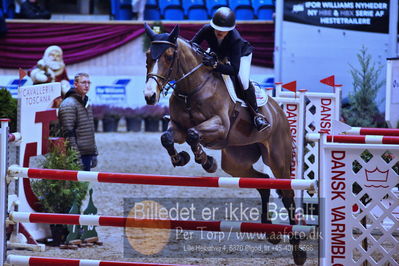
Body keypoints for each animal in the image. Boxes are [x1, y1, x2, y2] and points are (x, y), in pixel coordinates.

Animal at [145, 23, 310, 264]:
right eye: (148, 55)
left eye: (168, 56)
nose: (149, 96)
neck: (192, 88)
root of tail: (279, 112)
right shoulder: (177, 128)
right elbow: (168, 137)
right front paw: (181, 158)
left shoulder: (220, 127)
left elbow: (194, 134)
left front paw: (205, 160)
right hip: (236, 162)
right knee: (263, 182)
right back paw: (271, 233)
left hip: (278, 158)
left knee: (287, 194)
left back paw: (298, 250)